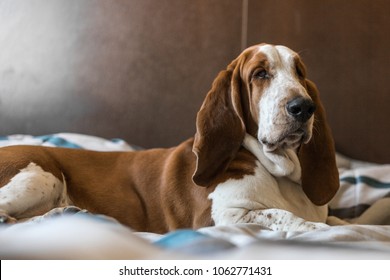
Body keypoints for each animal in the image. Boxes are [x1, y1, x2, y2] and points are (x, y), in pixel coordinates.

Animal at [0, 43, 338, 232]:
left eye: (299, 73)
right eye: (260, 74)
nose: (303, 107)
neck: (277, 171)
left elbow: (338, 222)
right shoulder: (218, 218)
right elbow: (284, 216)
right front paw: (316, 230)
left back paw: (63, 215)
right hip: (41, 176)